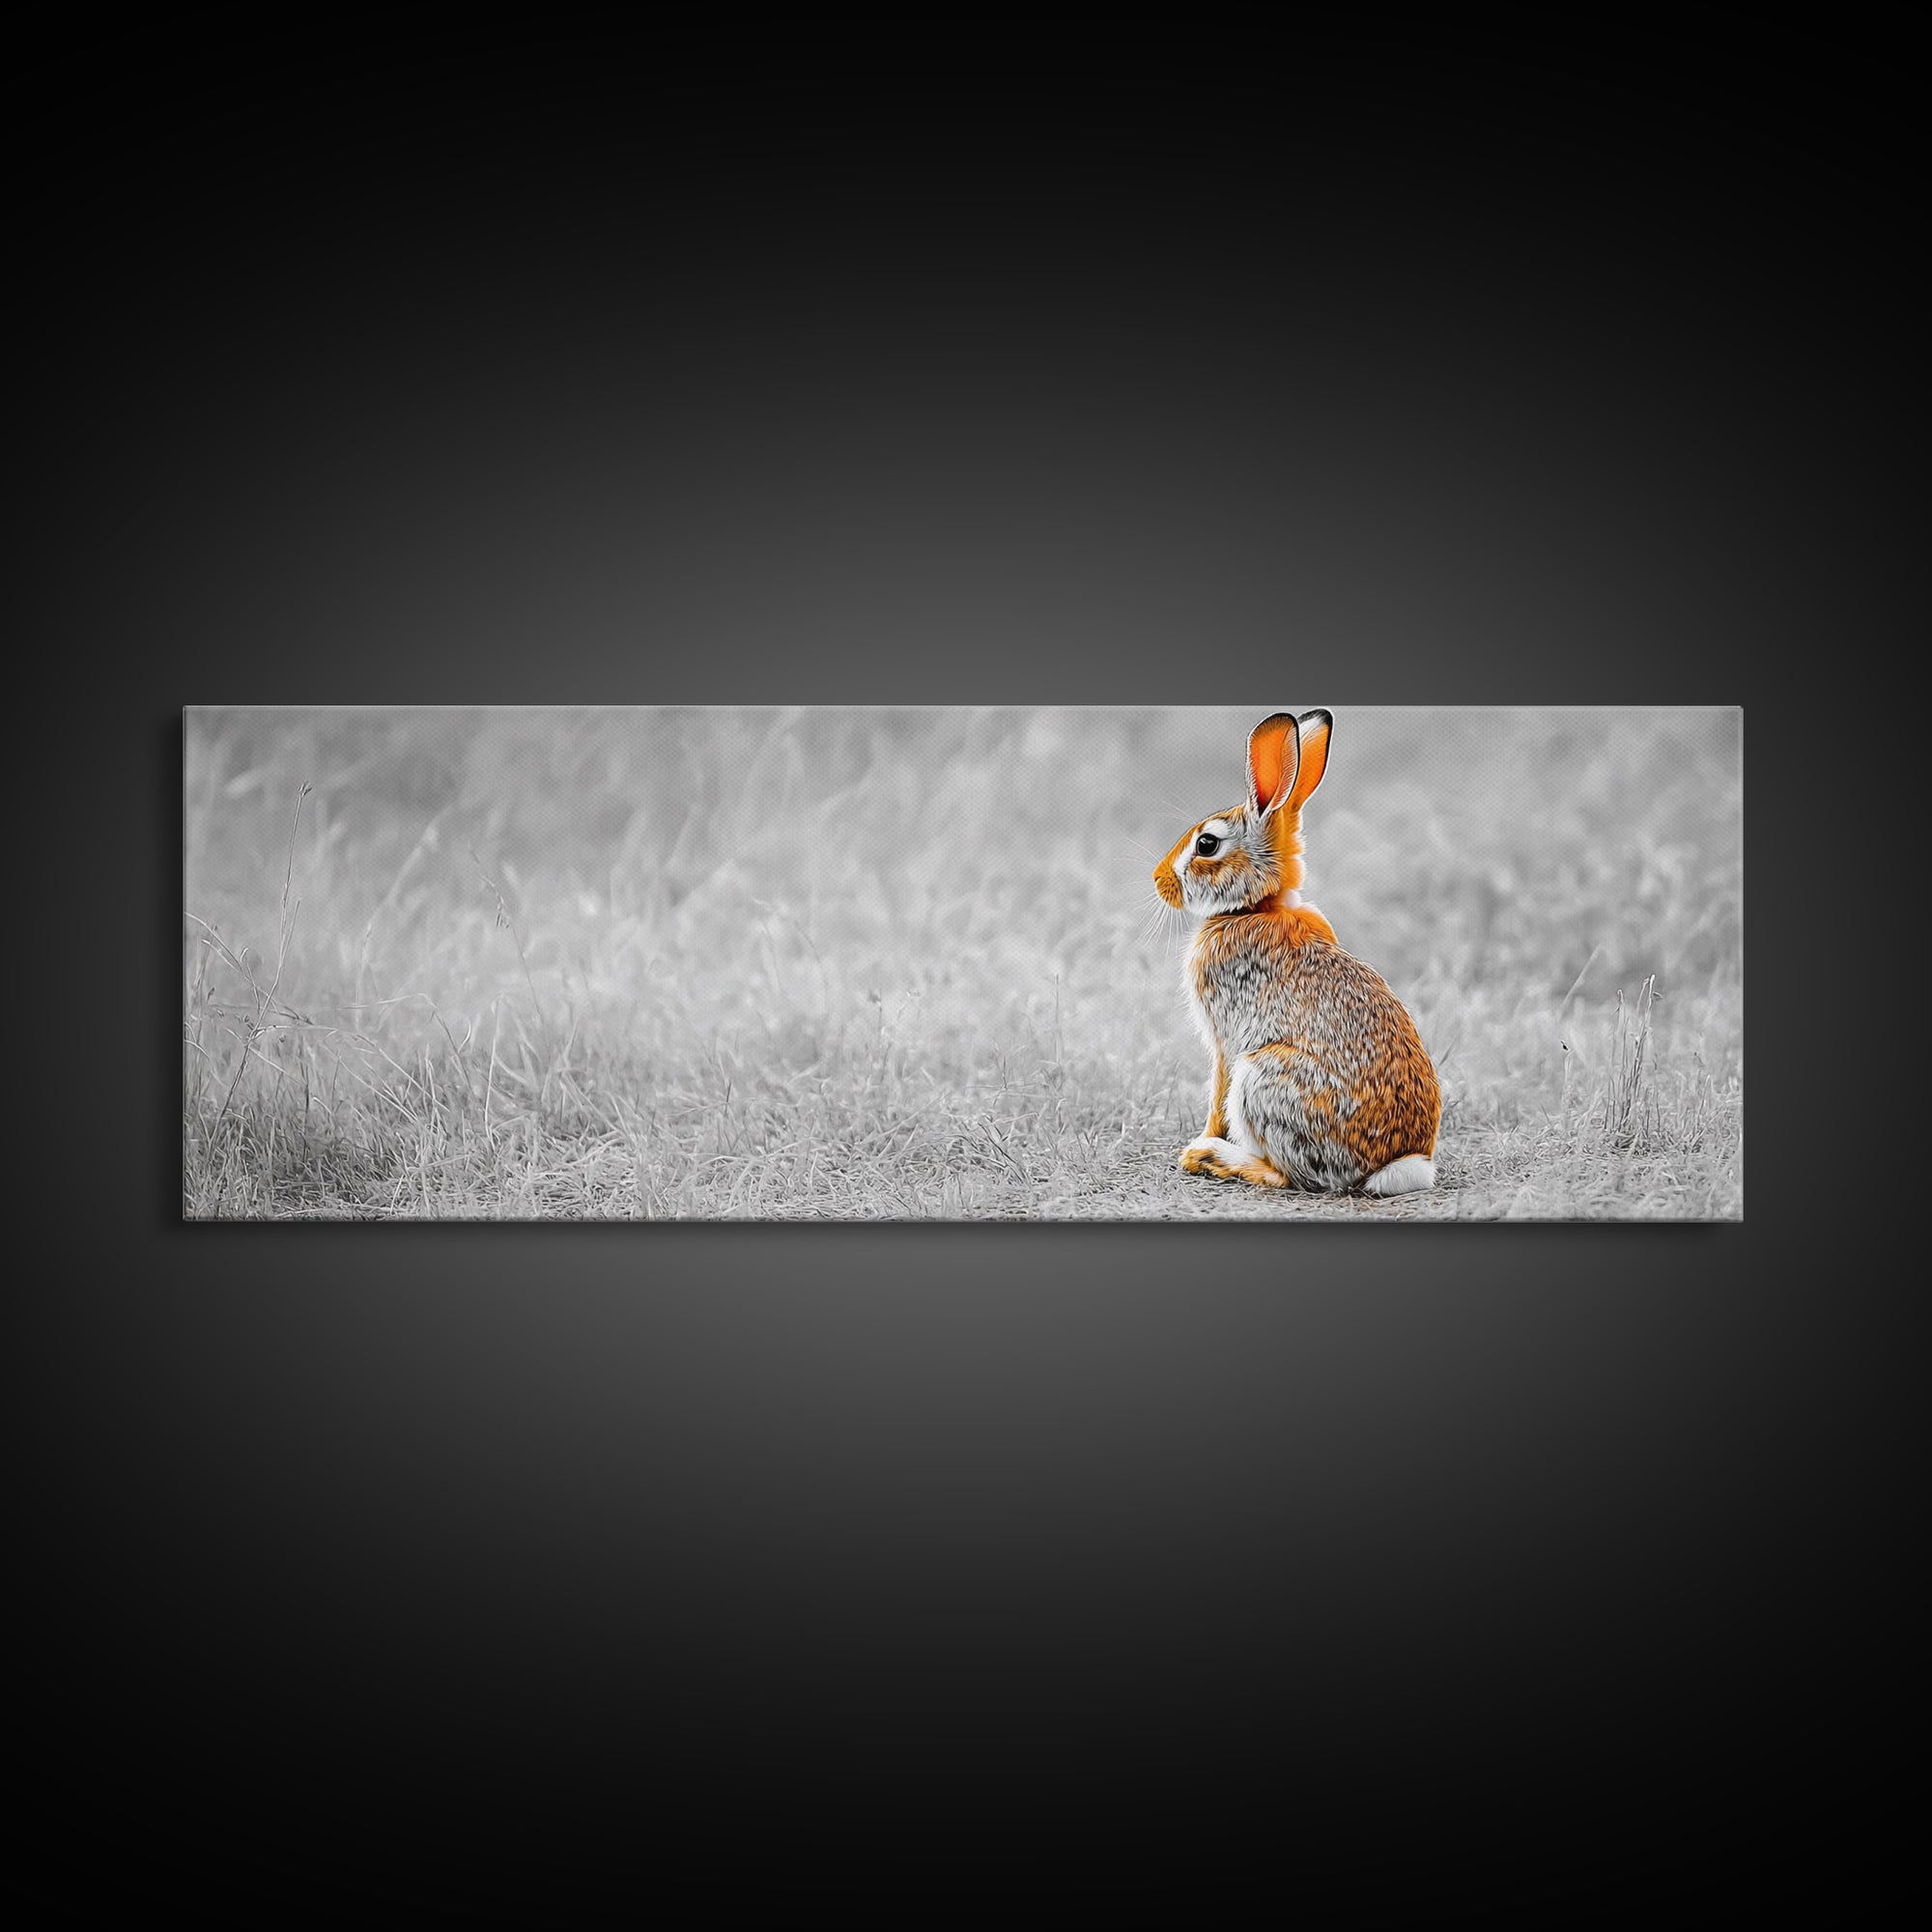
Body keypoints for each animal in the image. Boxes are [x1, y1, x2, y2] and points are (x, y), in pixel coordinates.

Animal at [1153, 709, 1440, 1196]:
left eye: (1206, 844)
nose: (1159, 881)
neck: (1256, 907)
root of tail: (1395, 1165)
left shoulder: (1225, 1041)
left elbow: (1217, 1092)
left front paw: (1200, 1141)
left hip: (1262, 1078)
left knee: (1290, 1176)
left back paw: (1213, 1157)